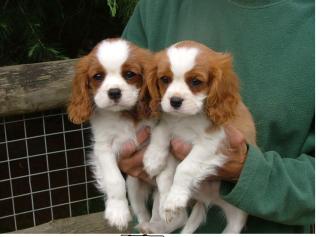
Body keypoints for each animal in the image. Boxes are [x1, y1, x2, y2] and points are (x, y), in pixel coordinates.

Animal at [68, 38, 156, 231]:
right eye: (98, 77)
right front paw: (117, 212)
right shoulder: (103, 148)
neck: (121, 114)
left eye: (130, 74)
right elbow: (115, 180)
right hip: (133, 184)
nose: (114, 92)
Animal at [144, 40, 256, 233]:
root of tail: (207, 199)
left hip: (237, 216)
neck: (186, 118)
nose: (175, 101)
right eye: (164, 79)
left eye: (196, 82)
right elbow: (163, 162)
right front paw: (154, 159)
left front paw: (174, 199)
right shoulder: (169, 124)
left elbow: (185, 168)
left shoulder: (213, 142)